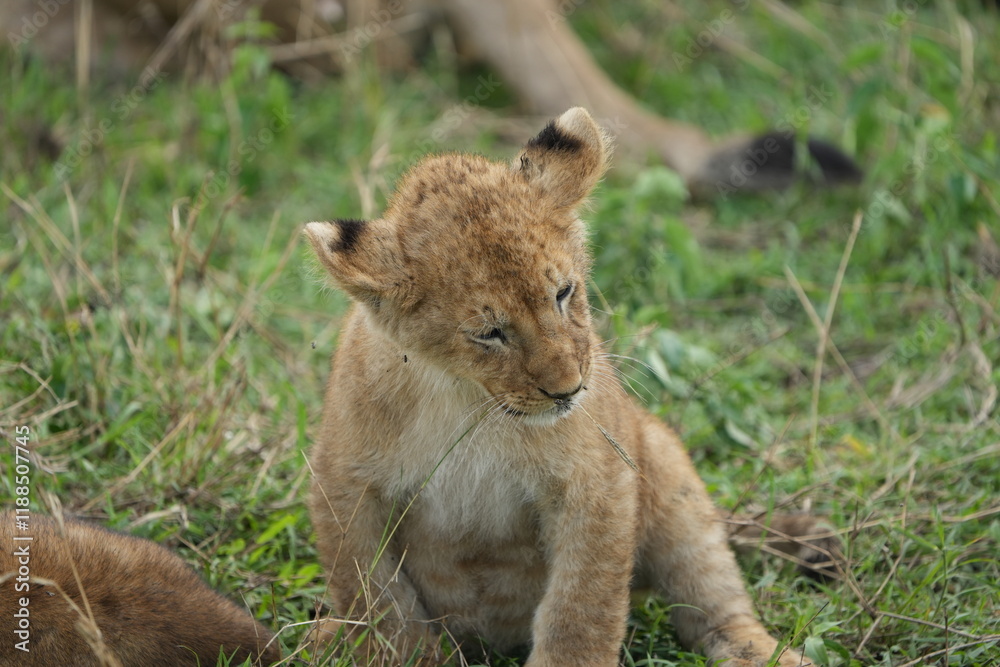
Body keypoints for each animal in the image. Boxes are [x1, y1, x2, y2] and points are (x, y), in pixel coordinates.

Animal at [304, 107, 810, 666]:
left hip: (666, 469)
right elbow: (378, 602)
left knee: (711, 594)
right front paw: (406, 654)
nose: (569, 390)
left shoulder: (597, 480)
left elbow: (580, 607)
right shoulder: (345, 485)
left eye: (564, 293)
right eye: (490, 333)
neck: (467, 400)